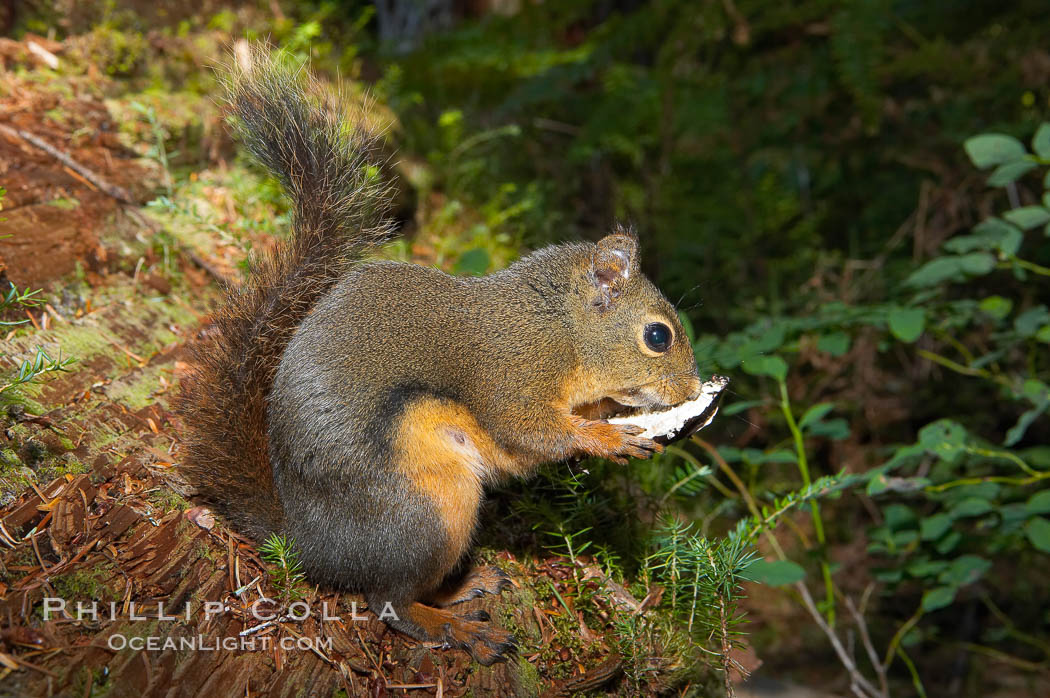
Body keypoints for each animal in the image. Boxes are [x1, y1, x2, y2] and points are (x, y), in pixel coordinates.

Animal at [176, 46, 705, 667]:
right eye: (658, 337)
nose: (691, 392)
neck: (560, 327)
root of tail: (314, 547)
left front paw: (611, 418)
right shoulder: (512, 371)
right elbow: (529, 429)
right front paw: (602, 438)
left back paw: (466, 586)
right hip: (433, 508)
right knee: (389, 602)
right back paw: (457, 626)